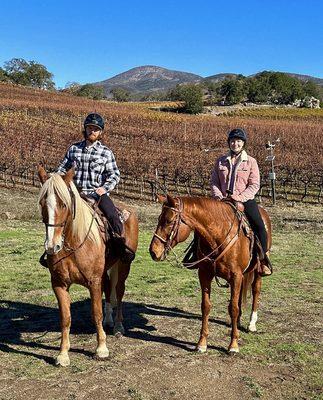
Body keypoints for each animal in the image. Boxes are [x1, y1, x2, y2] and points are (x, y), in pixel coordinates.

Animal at [38, 166, 139, 366]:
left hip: (124, 265)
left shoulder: (93, 281)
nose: (52, 246)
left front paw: (101, 348)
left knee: (119, 291)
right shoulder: (59, 284)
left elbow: (96, 313)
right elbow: (65, 318)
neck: (74, 243)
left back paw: (118, 326)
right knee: (108, 288)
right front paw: (63, 354)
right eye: (42, 204)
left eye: (64, 204)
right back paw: (109, 320)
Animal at [151, 194, 272, 354]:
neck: (218, 236)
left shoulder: (236, 276)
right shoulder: (205, 275)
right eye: (159, 218)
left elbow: (233, 308)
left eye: (169, 221)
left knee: (256, 290)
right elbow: (206, 306)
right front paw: (202, 343)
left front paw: (233, 345)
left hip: (257, 272)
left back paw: (252, 323)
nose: (153, 251)